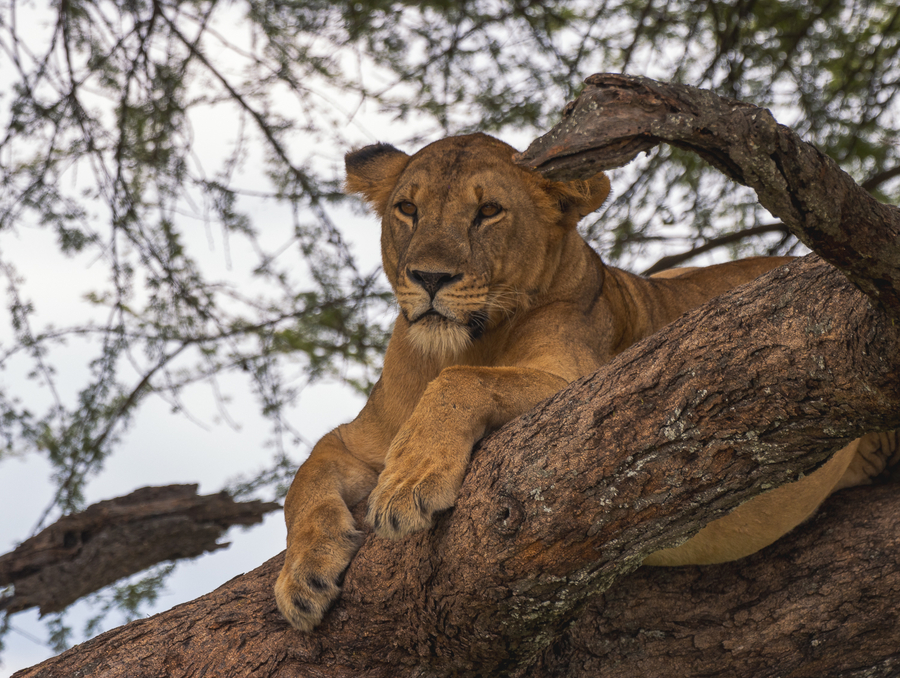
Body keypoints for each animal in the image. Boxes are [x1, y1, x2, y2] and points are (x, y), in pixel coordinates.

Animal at [275, 133, 897, 631]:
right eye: (408, 208)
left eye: (489, 211)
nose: (428, 277)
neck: (459, 342)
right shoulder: (359, 438)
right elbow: (306, 476)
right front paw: (302, 576)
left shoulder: (583, 388)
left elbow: (461, 380)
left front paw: (408, 484)